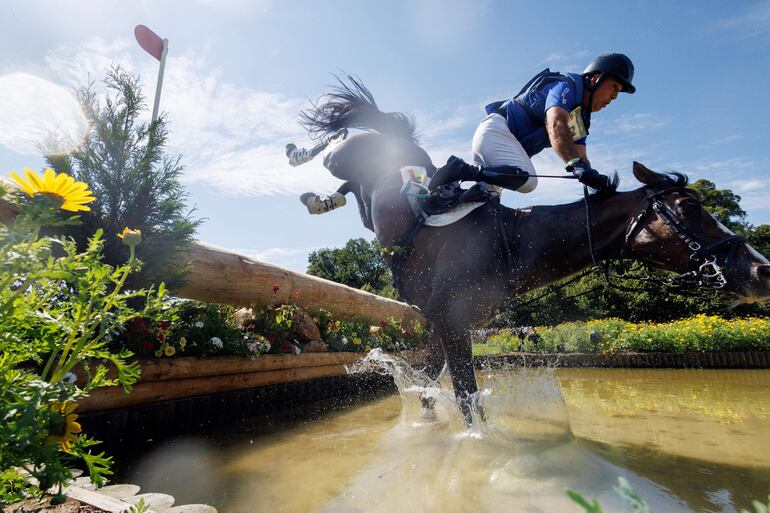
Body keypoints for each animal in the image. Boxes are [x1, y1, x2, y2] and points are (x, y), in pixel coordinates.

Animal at [292, 76, 768, 420]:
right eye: (690, 207)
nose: (762, 271)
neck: (513, 242)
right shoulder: (452, 324)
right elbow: (466, 399)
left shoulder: (442, 326)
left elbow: (430, 386)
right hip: (352, 157)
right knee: (338, 145)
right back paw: (302, 155)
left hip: (369, 202)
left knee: (350, 181)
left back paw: (321, 197)